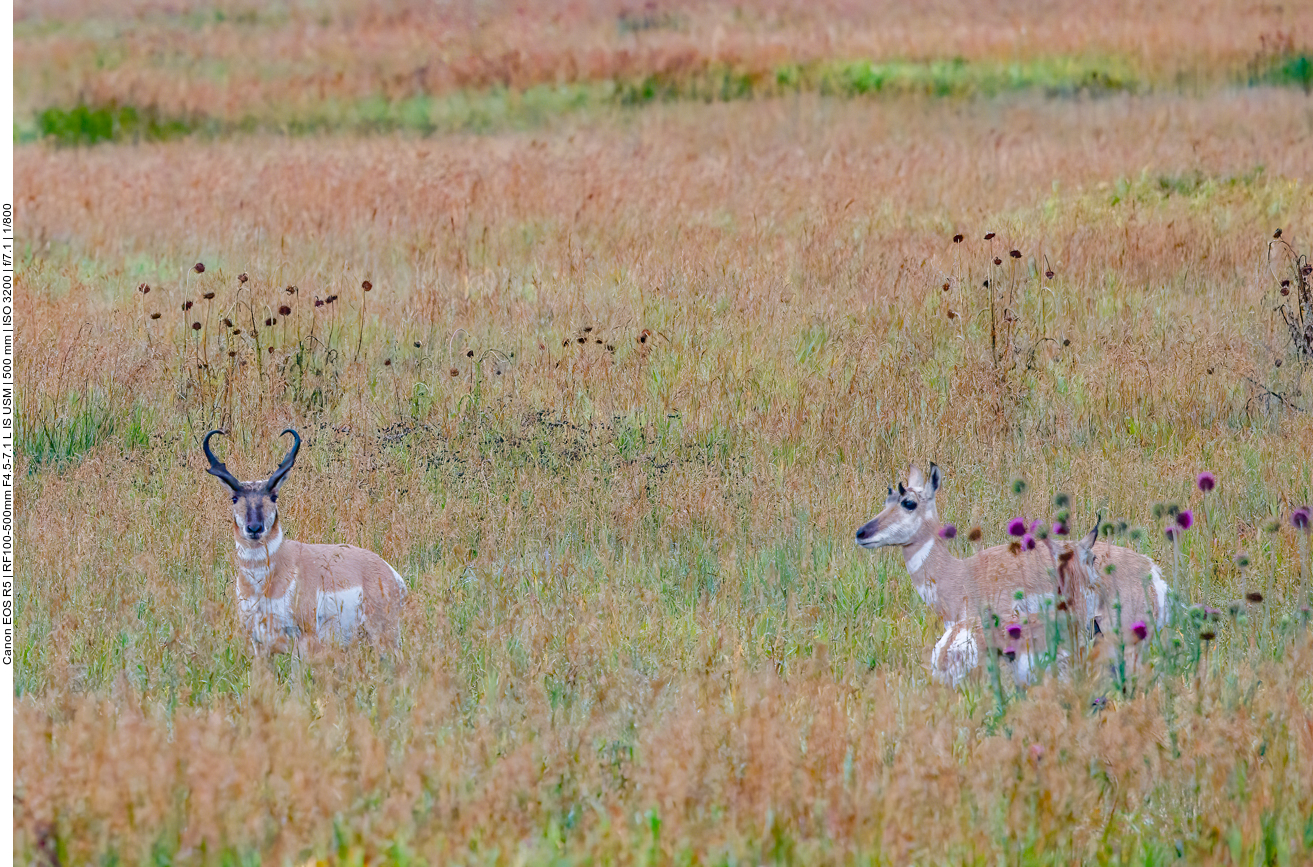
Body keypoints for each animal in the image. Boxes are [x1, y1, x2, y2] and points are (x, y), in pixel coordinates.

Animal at [202, 425, 407, 656]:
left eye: (274, 496)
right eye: (234, 498)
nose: (254, 528)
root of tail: (389, 572)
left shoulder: (304, 641)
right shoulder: (259, 644)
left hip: (384, 638)